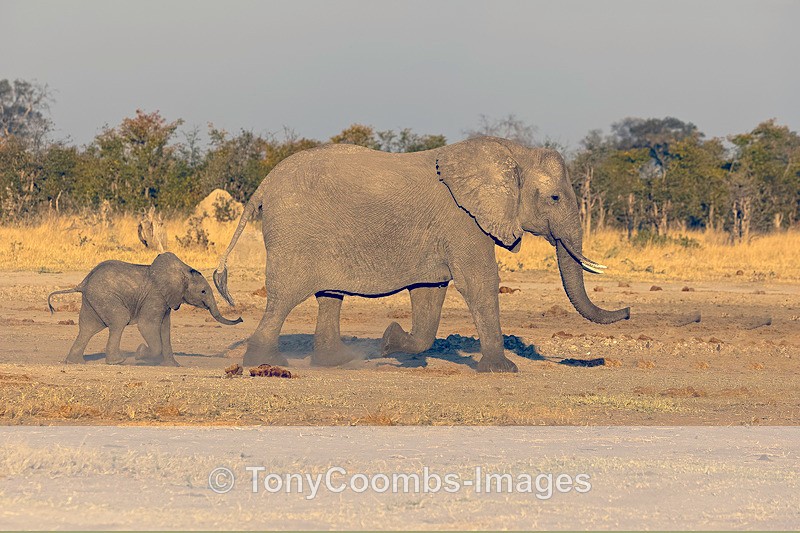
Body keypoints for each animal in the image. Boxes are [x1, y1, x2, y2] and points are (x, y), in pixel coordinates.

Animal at [48, 252, 242, 365]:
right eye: (203, 291)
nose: (240, 318)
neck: (181, 271)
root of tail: (83, 282)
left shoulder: (166, 301)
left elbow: (165, 329)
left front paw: (173, 366)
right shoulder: (155, 297)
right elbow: (147, 325)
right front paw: (140, 353)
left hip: (93, 300)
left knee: (88, 328)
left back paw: (75, 362)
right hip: (104, 296)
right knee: (119, 320)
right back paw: (118, 361)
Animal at [213, 136, 629, 373]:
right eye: (555, 198)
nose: (626, 312)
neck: (512, 153)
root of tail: (263, 185)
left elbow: (431, 294)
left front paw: (389, 341)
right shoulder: (463, 220)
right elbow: (480, 283)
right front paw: (502, 370)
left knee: (329, 296)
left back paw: (337, 363)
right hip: (295, 235)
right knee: (285, 297)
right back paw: (266, 363)